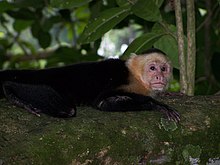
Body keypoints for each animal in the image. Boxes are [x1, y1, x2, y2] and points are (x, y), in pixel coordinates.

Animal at [0, 48, 180, 122]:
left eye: (164, 69)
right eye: (152, 68)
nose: (159, 76)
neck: (135, 77)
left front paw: (167, 95)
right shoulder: (122, 77)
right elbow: (103, 102)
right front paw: (157, 105)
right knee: (69, 110)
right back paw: (11, 91)